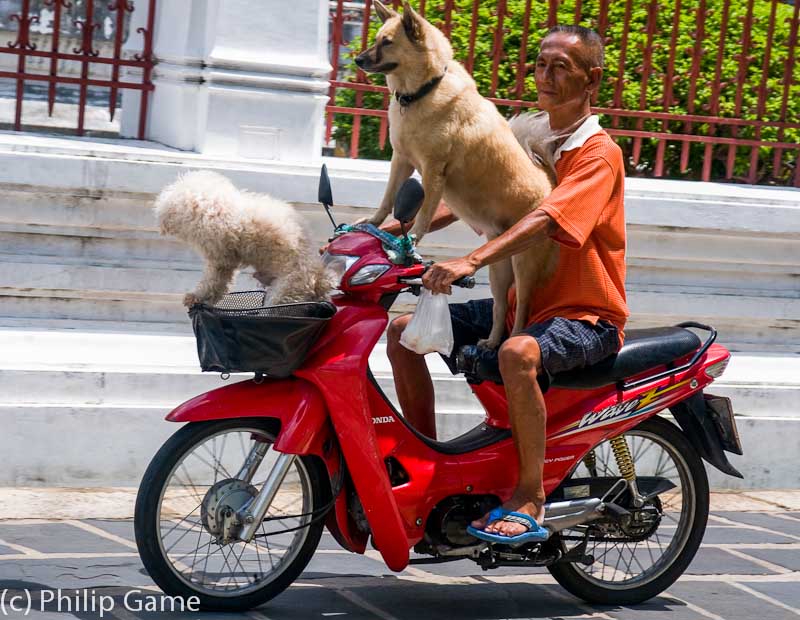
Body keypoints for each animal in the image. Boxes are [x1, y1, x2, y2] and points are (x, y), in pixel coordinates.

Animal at [154, 170, 338, 308]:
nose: (161, 225)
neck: (213, 206)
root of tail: (319, 279)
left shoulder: (221, 259)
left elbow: (213, 281)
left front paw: (197, 296)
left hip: (284, 291)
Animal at [360, 1, 560, 348]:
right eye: (376, 39)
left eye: (387, 42)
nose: (358, 59)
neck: (423, 90)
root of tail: (551, 188)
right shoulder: (401, 161)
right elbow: (388, 200)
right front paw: (373, 223)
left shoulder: (433, 172)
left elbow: (423, 216)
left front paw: (409, 244)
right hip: (498, 268)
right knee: (500, 307)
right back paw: (492, 342)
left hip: (524, 264)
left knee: (522, 309)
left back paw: (510, 340)